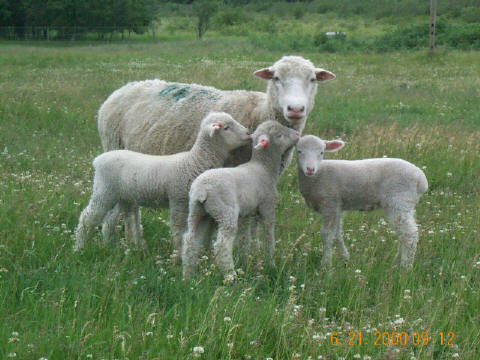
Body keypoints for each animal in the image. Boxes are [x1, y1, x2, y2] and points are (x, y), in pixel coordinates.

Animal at [74, 112, 251, 250]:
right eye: (226, 127)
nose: (249, 133)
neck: (193, 162)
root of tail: (98, 159)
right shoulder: (178, 200)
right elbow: (179, 230)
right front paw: (178, 254)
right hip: (103, 191)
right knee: (87, 217)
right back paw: (79, 247)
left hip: (121, 196)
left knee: (109, 220)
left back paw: (108, 245)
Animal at [181, 121, 300, 278]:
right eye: (279, 135)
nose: (298, 134)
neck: (264, 167)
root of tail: (202, 190)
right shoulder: (267, 207)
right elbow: (269, 236)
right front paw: (270, 263)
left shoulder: (247, 213)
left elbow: (246, 237)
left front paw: (247, 258)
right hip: (226, 212)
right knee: (222, 245)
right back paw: (231, 275)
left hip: (196, 212)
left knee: (190, 241)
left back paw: (187, 275)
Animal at [296, 135, 428, 268]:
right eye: (299, 151)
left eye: (321, 152)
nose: (310, 169)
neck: (318, 175)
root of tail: (421, 180)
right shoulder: (337, 206)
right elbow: (337, 234)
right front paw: (345, 258)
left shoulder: (329, 203)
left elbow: (326, 235)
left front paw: (326, 264)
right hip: (404, 203)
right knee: (403, 233)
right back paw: (396, 263)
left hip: (399, 199)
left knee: (409, 234)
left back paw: (405, 266)